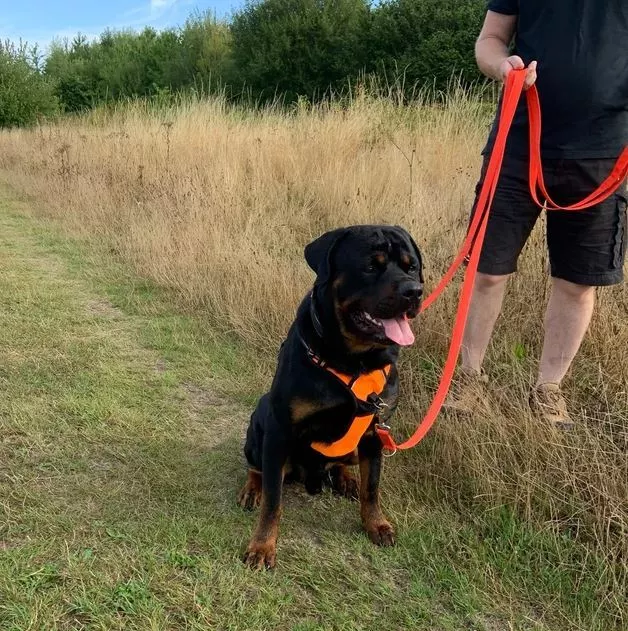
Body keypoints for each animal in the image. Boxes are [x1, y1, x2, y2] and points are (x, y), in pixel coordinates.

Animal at [238, 225, 424, 572]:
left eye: (412, 267)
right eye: (370, 266)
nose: (414, 292)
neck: (354, 362)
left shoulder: (376, 432)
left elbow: (372, 487)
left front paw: (376, 524)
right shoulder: (279, 430)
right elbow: (273, 500)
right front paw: (262, 545)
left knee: (344, 465)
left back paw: (345, 478)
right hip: (260, 423)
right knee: (258, 469)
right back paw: (251, 488)